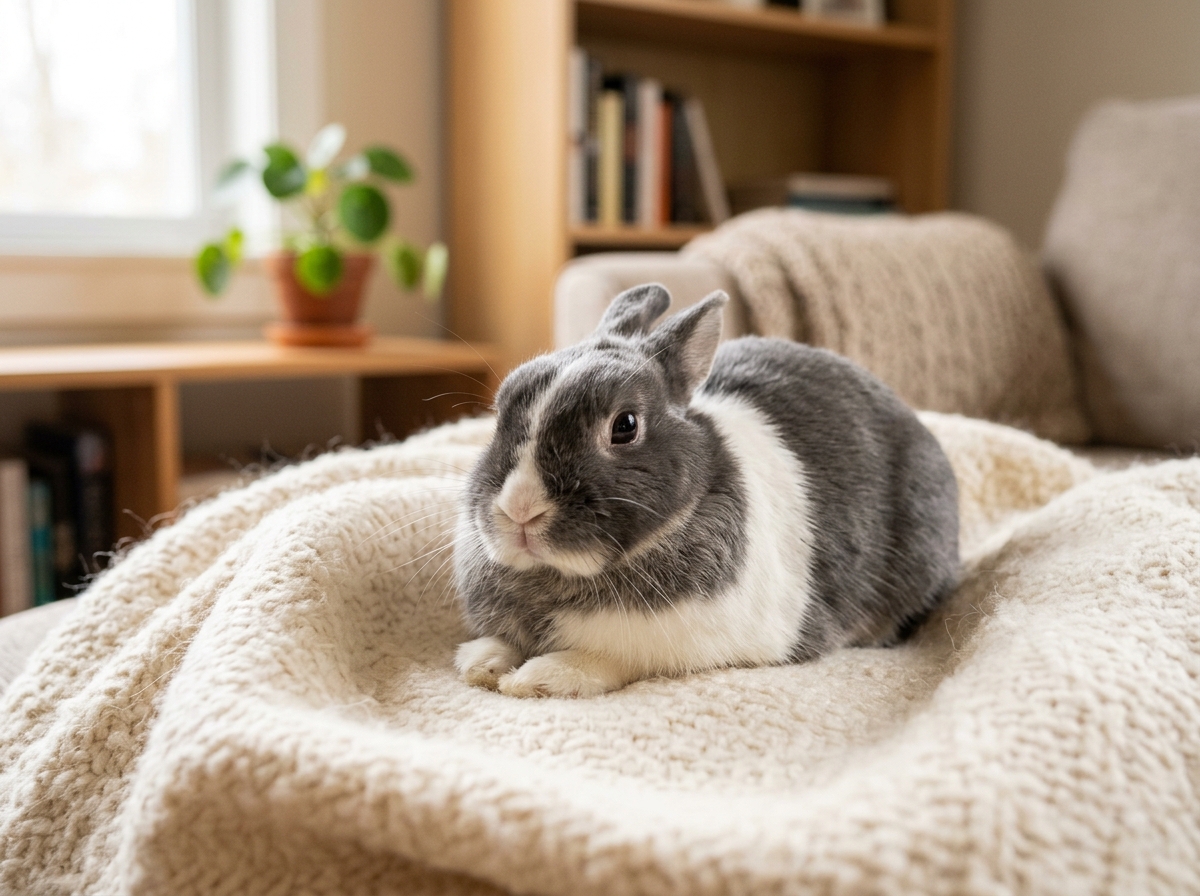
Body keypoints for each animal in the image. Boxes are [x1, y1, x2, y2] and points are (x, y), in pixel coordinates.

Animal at [453, 283, 959, 698]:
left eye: (625, 426)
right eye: (500, 412)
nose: (520, 511)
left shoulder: (688, 645)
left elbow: (611, 658)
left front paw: (537, 679)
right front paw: (481, 664)